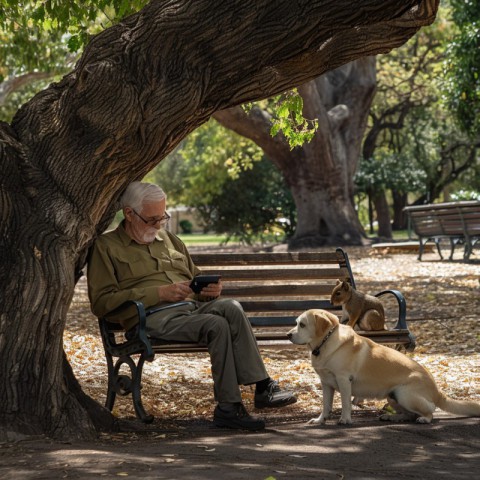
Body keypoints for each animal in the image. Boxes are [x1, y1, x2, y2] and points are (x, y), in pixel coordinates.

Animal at [286, 310, 480, 426]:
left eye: (302, 324)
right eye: (296, 323)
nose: (288, 335)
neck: (326, 342)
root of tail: (437, 390)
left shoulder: (343, 379)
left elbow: (345, 403)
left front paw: (345, 420)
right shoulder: (326, 383)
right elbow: (325, 405)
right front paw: (320, 420)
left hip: (404, 394)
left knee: (430, 411)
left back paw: (424, 419)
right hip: (392, 397)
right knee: (409, 415)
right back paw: (392, 416)